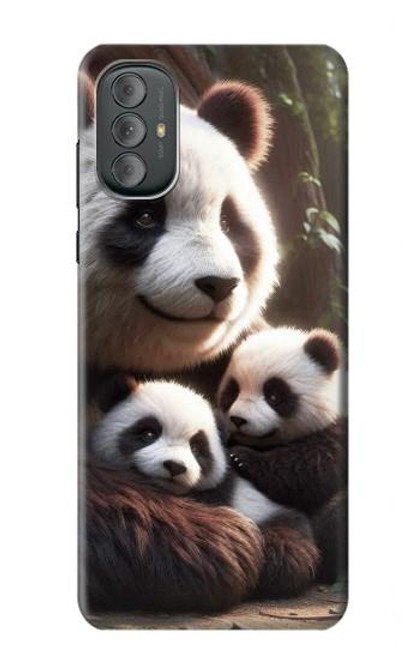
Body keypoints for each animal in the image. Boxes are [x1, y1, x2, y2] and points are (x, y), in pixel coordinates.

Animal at [217, 326, 347, 581]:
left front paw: (241, 458)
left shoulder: (339, 431)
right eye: (233, 391)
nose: (238, 420)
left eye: (274, 396)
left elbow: (311, 467)